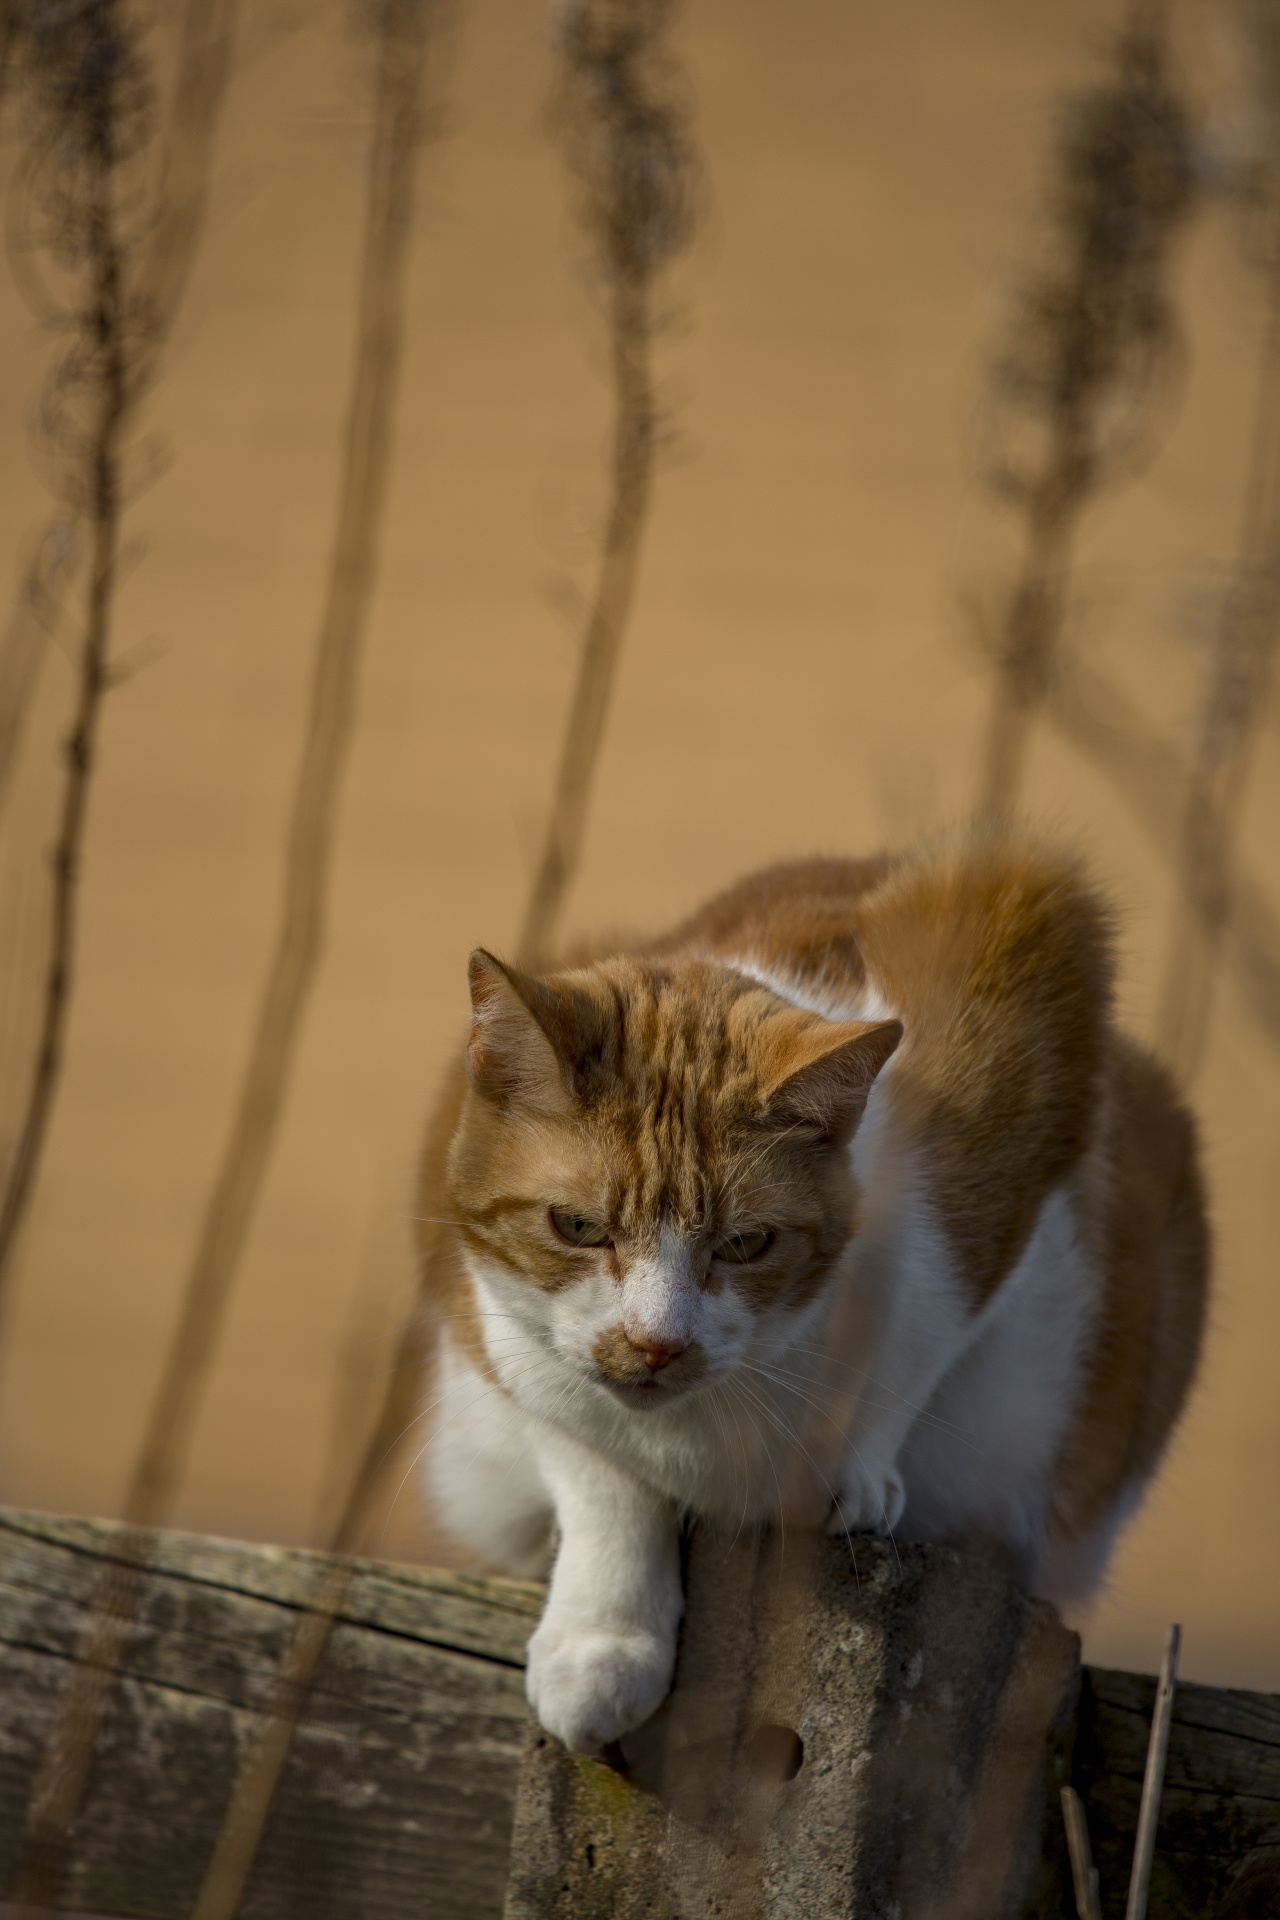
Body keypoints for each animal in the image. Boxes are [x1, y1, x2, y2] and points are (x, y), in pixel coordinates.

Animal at [420, 829, 1212, 1758]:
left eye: (744, 1245)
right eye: (577, 1227)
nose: (657, 1344)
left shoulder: (1027, 986)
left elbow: (929, 1331)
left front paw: (854, 1471)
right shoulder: (509, 1349)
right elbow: (594, 1464)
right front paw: (601, 1638)